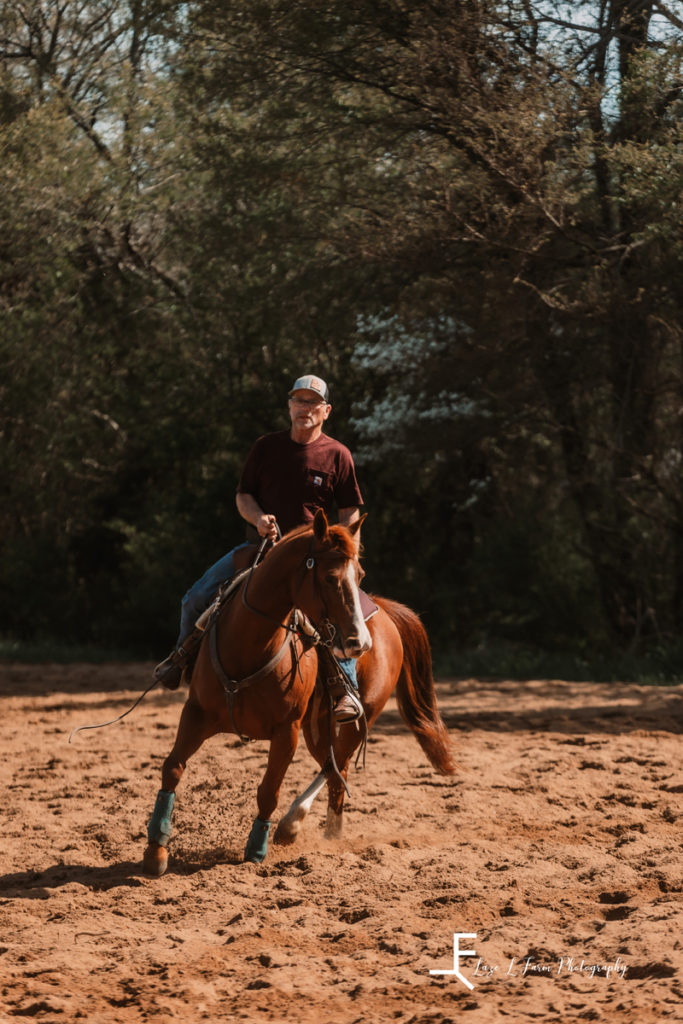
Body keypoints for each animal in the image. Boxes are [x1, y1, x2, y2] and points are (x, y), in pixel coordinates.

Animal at [143, 509, 454, 872]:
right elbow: (172, 767)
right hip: (317, 726)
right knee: (335, 770)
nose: (361, 643)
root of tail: (384, 611)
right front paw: (156, 848)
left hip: (358, 717)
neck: (248, 646)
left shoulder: (286, 730)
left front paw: (256, 849)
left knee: (335, 767)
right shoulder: (196, 713)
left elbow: (269, 790)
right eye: (331, 577)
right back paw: (328, 833)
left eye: (359, 574)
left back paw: (296, 825)